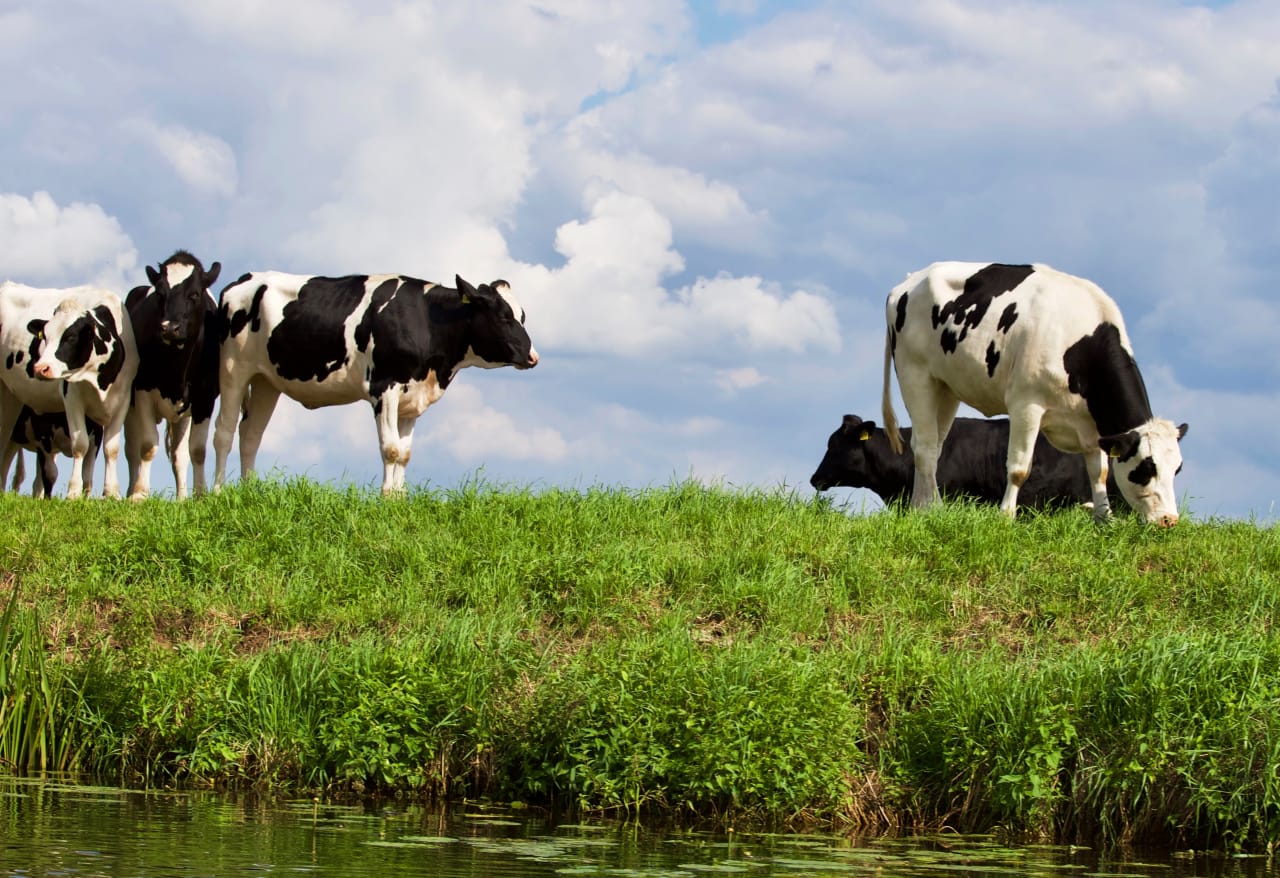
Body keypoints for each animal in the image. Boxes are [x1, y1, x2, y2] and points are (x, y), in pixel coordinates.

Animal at [0, 283, 138, 498]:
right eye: (45, 337)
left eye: (71, 337)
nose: (40, 368)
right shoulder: (72, 398)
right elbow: (80, 444)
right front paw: (73, 492)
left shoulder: (122, 399)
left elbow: (111, 448)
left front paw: (112, 493)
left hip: (11, 396)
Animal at [124, 250, 222, 500]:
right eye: (160, 293)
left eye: (194, 294)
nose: (170, 327)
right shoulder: (142, 391)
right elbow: (147, 445)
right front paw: (140, 494)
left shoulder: (205, 397)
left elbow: (196, 450)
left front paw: (199, 495)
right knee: (131, 450)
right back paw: (128, 491)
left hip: (182, 416)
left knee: (179, 455)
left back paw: (181, 498)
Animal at [213, 273, 539, 495]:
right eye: (503, 316)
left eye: (522, 315)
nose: (532, 356)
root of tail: (245, 279)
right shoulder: (384, 387)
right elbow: (390, 448)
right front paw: (386, 498)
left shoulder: (411, 397)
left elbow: (405, 453)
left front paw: (399, 498)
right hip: (233, 370)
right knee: (224, 433)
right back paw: (217, 493)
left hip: (266, 381)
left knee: (251, 434)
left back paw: (248, 492)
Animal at [881, 262, 1187, 526]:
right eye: (1147, 468)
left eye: (1177, 469)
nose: (1169, 520)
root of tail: (909, 281)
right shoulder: (1025, 405)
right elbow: (1019, 468)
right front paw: (1006, 516)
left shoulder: (1090, 426)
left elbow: (1098, 471)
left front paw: (1104, 519)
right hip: (915, 374)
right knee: (923, 446)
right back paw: (931, 507)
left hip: (945, 386)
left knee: (933, 446)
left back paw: (922, 507)